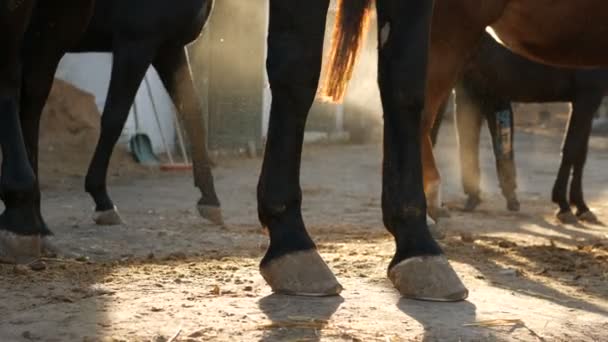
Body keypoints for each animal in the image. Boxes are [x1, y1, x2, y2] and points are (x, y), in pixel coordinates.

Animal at [432, 32, 608, 224]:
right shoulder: (587, 96)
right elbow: (571, 150)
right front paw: (564, 205)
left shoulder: (586, 101)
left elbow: (580, 155)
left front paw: (581, 206)